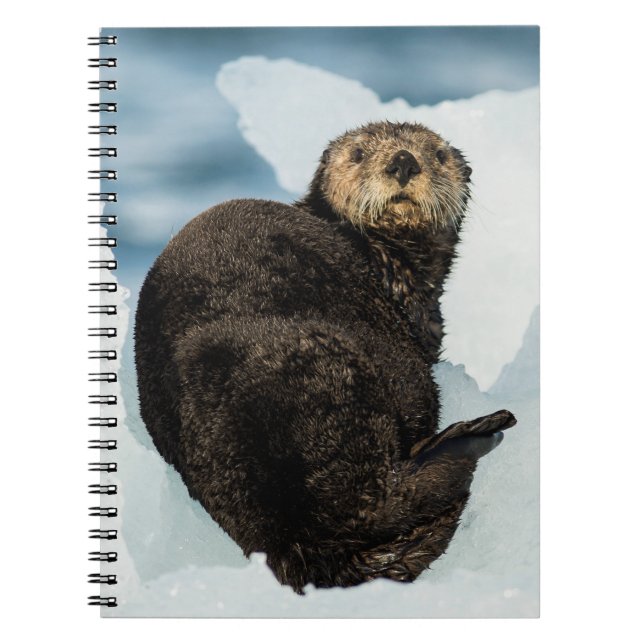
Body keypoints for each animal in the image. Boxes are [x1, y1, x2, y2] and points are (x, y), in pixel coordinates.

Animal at [134, 121, 516, 593]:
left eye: (438, 155)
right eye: (358, 154)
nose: (404, 161)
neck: (388, 263)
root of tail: (287, 538)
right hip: (349, 379)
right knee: (386, 496)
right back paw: (477, 434)